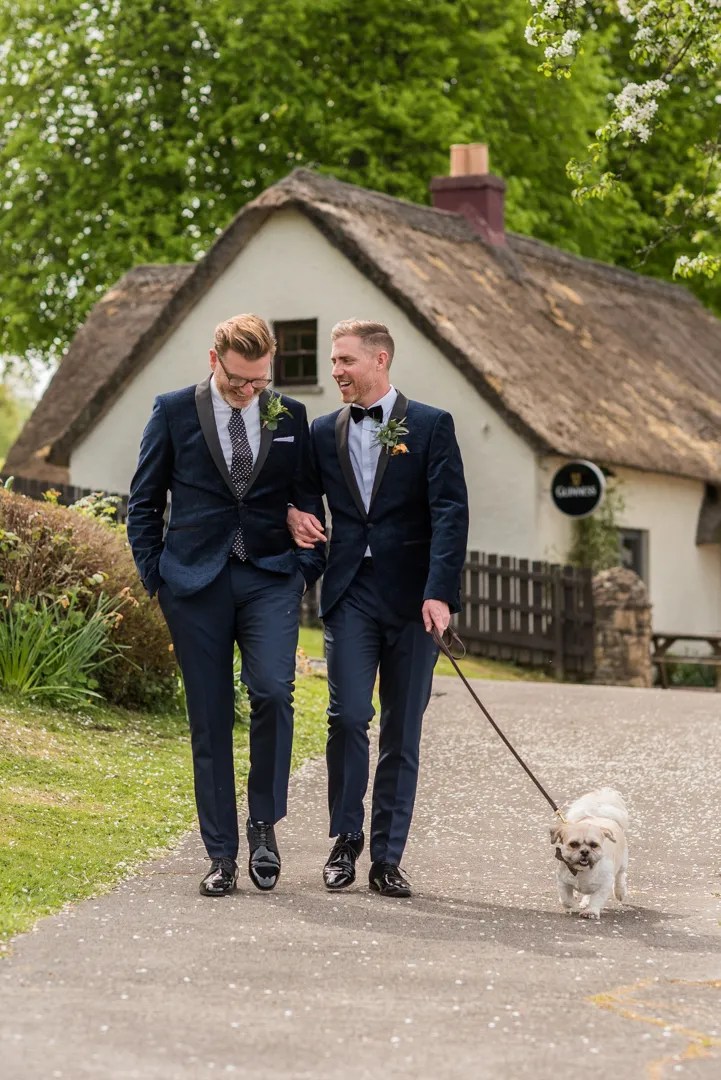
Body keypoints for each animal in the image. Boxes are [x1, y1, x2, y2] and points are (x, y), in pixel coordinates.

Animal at [548, 786, 626, 920]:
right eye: (573, 844)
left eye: (594, 845)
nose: (584, 851)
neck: (582, 872)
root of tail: (601, 815)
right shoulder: (562, 881)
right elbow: (565, 898)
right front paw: (570, 904)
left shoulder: (605, 884)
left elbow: (596, 899)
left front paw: (591, 912)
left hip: (623, 862)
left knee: (620, 876)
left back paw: (619, 891)